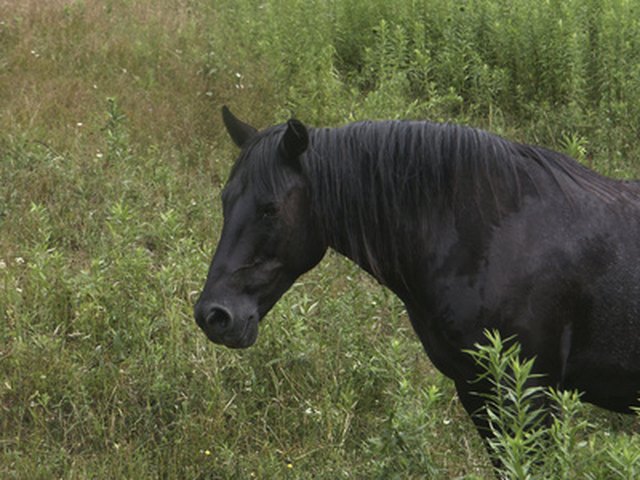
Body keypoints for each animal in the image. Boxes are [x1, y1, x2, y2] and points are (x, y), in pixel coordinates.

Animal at [195, 109, 640, 458]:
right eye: (225, 200)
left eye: (269, 208)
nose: (214, 316)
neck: (495, 238)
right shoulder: (475, 390)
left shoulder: (531, 393)